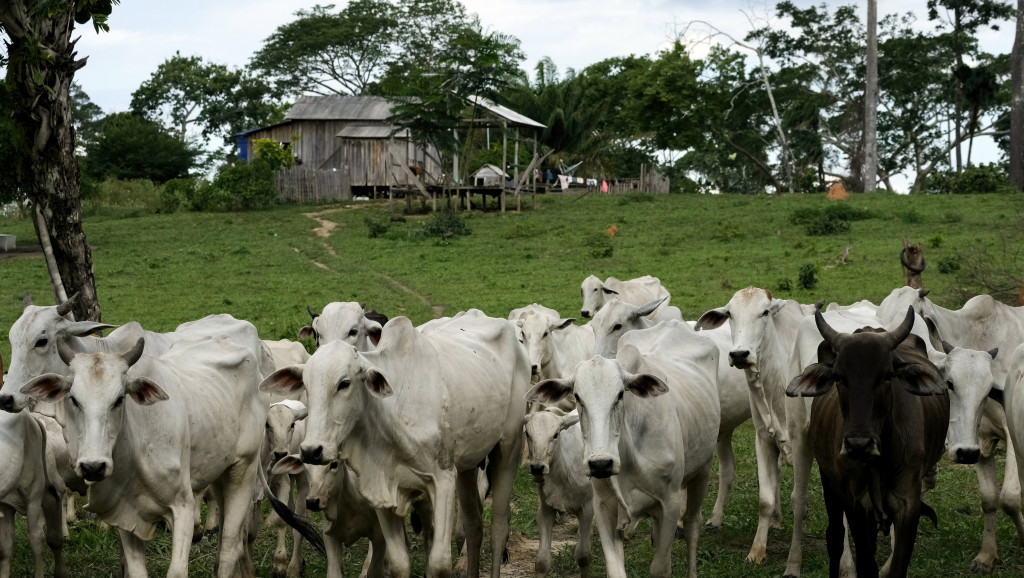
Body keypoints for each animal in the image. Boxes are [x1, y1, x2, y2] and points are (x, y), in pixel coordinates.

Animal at [18, 336, 288, 578]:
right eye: (74, 399)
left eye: (119, 399)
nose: (93, 467)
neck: (137, 450)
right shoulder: (125, 514)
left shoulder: (183, 508)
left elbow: (177, 571)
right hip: (220, 474)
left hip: (243, 470)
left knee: (229, 550)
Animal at [260, 311, 528, 578]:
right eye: (305, 384)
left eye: (344, 383)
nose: (311, 451)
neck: (392, 412)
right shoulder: (381, 487)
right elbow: (399, 563)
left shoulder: (443, 479)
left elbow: (439, 563)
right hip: (468, 465)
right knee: (473, 526)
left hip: (508, 449)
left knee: (498, 528)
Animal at [520, 407, 593, 573]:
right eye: (527, 434)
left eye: (555, 435)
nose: (537, 468)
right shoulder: (545, 508)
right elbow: (542, 562)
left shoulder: (587, 507)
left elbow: (583, 557)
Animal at [528, 319, 720, 578]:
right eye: (577, 396)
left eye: (620, 394)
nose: (600, 464)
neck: (628, 458)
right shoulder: (603, 509)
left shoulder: (669, 504)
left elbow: (660, 568)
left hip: (703, 470)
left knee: (692, 525)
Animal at [786, 307, 946, 578]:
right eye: (839, 376)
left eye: (887, 375)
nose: (858, 445)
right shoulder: (854, 502)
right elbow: (865, 563)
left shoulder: (908, 504)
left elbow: (897, 567)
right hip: (829, 480)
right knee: (835, 537)